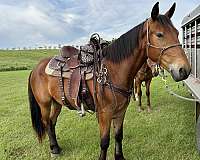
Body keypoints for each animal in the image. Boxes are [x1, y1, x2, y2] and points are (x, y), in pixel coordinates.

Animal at [27, 2, 191, 159]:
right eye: (159, 34)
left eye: (177, 33)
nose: (184, 70)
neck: (113, 72)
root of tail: (36, 68)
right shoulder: (105, 114)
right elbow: (105, 142)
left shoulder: (120, 112)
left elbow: (118, 136)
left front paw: (120, 157)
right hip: (44, 104)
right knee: (47, 122)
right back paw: (54, 149)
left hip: (57, 102)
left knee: (52, 122)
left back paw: (56, 147)